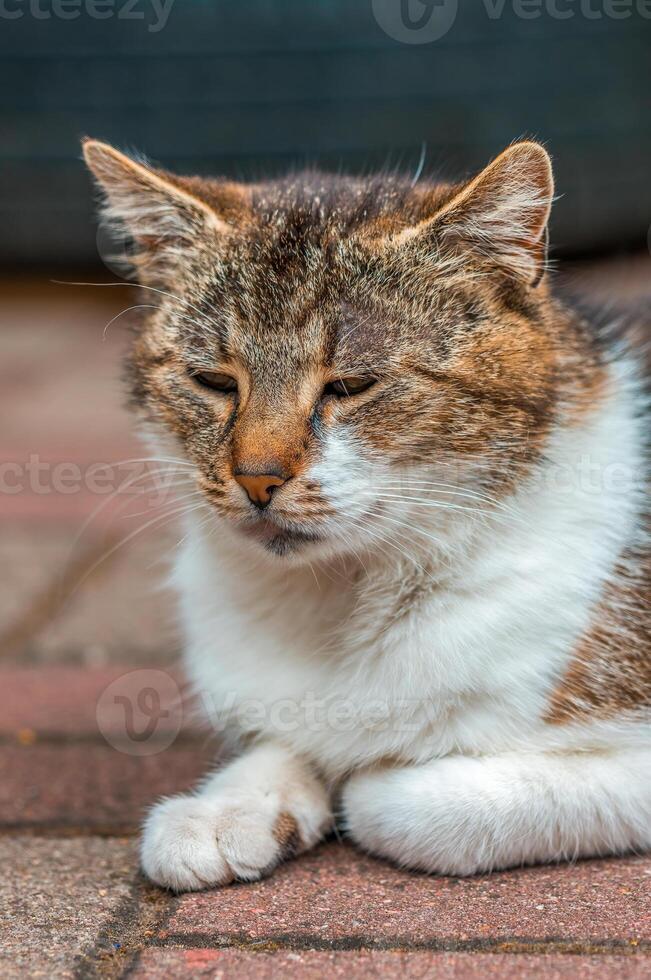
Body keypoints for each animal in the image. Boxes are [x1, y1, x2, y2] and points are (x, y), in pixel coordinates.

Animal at [84, 140, 648, 896]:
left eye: (352, 385)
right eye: (213, 381)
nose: (256, 477)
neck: (344, 596)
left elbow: (409, 803)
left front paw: (368, 779)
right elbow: (281, 742)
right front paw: (228, 808)